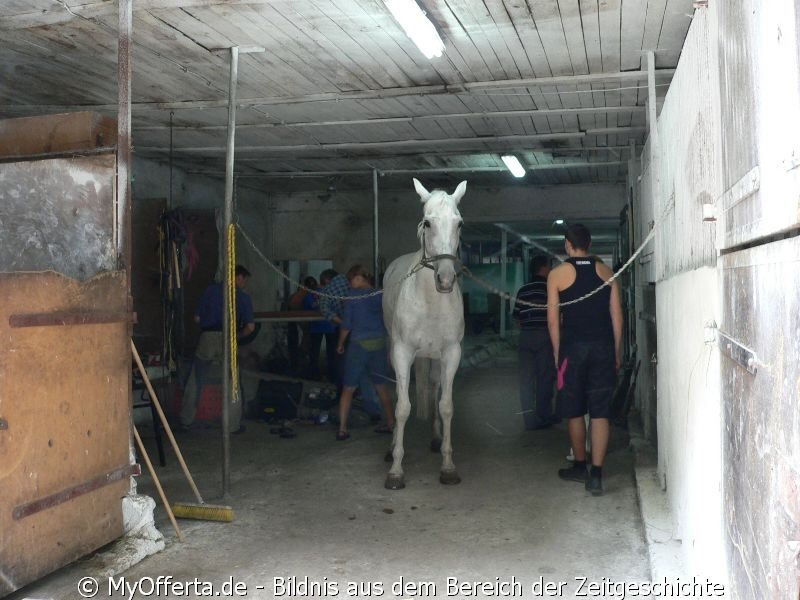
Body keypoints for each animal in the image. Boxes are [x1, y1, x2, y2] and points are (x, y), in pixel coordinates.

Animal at [382, 177, 468, 488]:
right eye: (427, 223)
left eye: (459, 223)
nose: (445, 279)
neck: (431, 300)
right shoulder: (402, 353)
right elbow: (402, 406)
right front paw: (396, 469)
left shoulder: (451, 354)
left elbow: (445, 405)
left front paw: (448, 466)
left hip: (434, 358)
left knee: (433, 387)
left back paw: (435, 438)